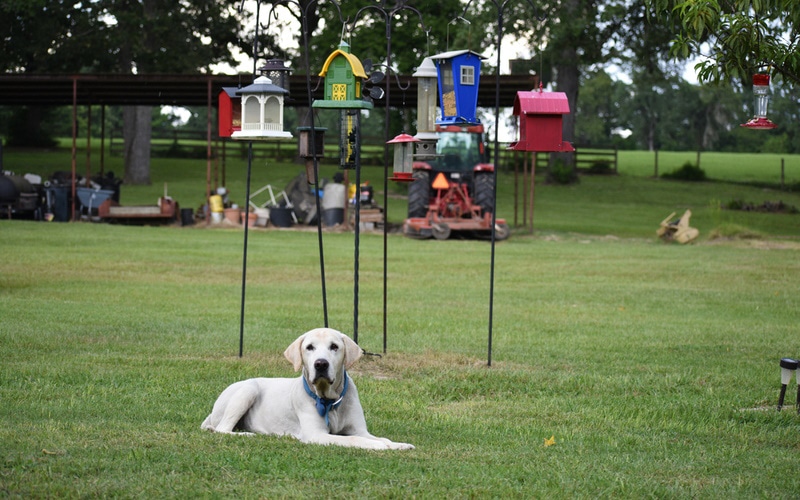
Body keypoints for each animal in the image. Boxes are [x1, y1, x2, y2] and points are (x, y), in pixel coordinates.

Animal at [202, 326, 412, 452]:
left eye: (334, 346)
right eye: (309, 347)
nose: (321, 364)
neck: (330, 401)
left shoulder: (359, 429)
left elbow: (382, 438)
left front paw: (398, 444)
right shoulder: (317, 435)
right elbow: (354, 440)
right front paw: (378, 445)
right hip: (248, 390)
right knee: (222, 429)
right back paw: (247, 434)